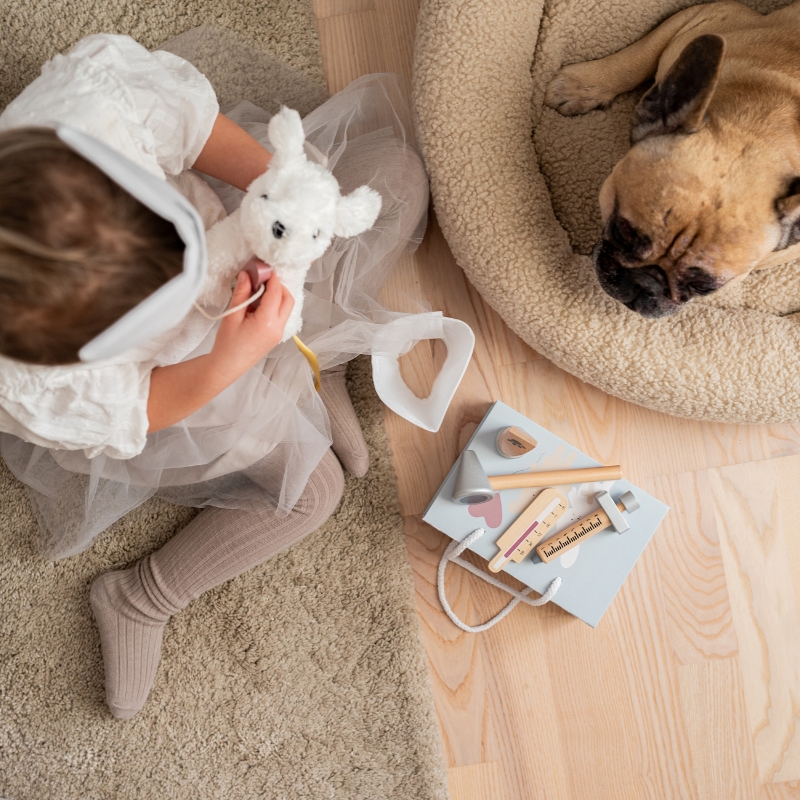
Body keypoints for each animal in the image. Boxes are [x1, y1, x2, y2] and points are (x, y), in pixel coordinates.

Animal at [548, 0, 800, 318]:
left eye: (703, 287)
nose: (645, 284)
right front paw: (582, 85)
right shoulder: (707, 17)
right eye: (622, 233)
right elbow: (639, 56)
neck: (756, 127)